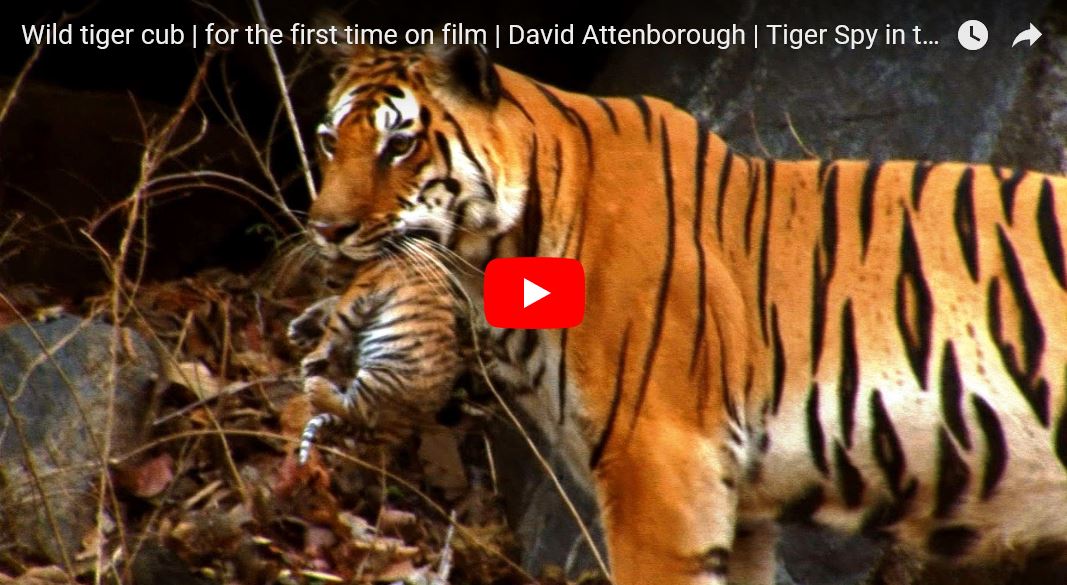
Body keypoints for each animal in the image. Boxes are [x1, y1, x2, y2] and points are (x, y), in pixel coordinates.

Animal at [286, 240, 464, 464]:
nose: (328, 279)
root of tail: (412, 422)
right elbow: (332, 304)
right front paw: (303, 327)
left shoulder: (363, 289)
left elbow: (337, 323)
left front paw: (312, 357)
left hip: (382, 373)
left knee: (355, 410)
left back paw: (315, 385)